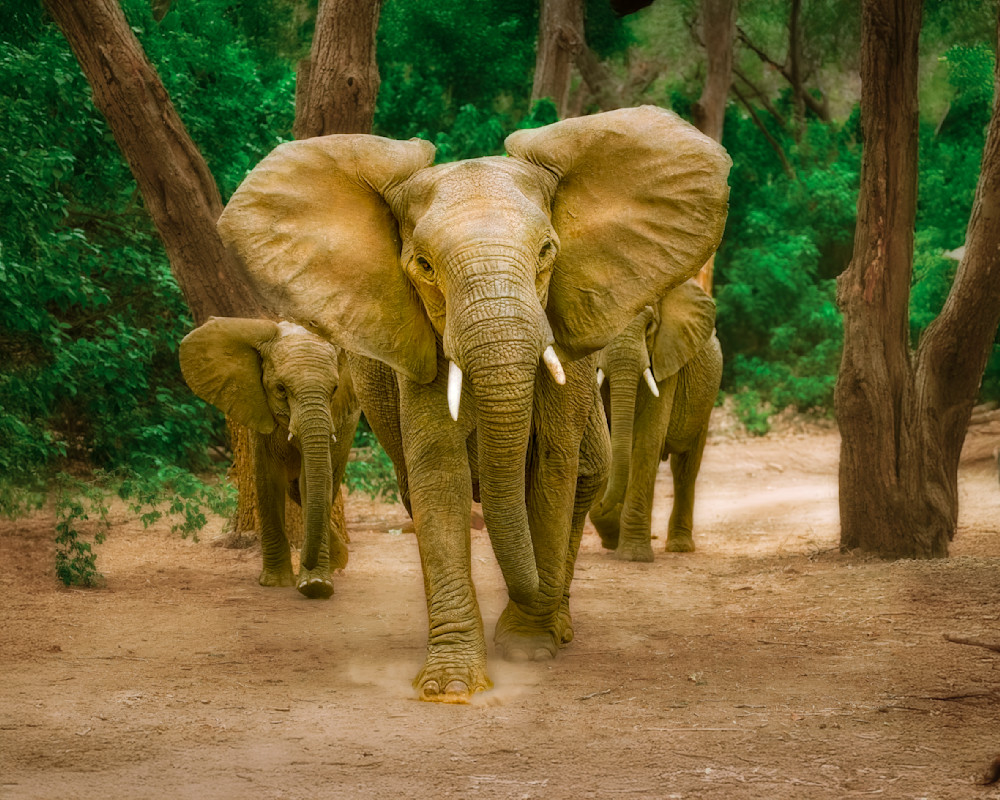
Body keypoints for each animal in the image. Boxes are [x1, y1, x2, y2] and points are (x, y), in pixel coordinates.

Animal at [179, 317, 361, 599]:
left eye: (334, 390)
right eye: (281, 389)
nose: (305, 561)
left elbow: (312, 482)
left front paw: (316, 585)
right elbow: (268, 480)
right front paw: (277, 582)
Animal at [589, 281, 722, 561]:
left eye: (650, 325)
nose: (605, 504)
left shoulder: (666, 359)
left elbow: (647, 440)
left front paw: (633, 556)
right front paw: (613, 537)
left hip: (705, 405)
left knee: (685, 469)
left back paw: (679, 546)